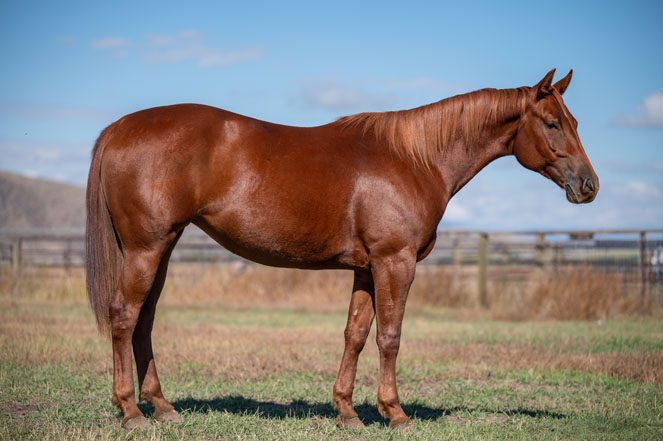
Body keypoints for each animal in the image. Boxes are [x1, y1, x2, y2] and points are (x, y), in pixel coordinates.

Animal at [85, 69, 598, 430]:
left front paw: (347, 411)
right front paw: (395, 412)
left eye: (575, 122)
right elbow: (390, 336)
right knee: (124, 316)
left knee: (144, 320)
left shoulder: (367, 269)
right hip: (147, 249)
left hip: (161, 248)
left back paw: (161, 406)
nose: (589, 186)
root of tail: (119, 128)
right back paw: (131, 411)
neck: (415, 158)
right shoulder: (395, 262)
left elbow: (355, 333)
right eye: (552, 123)